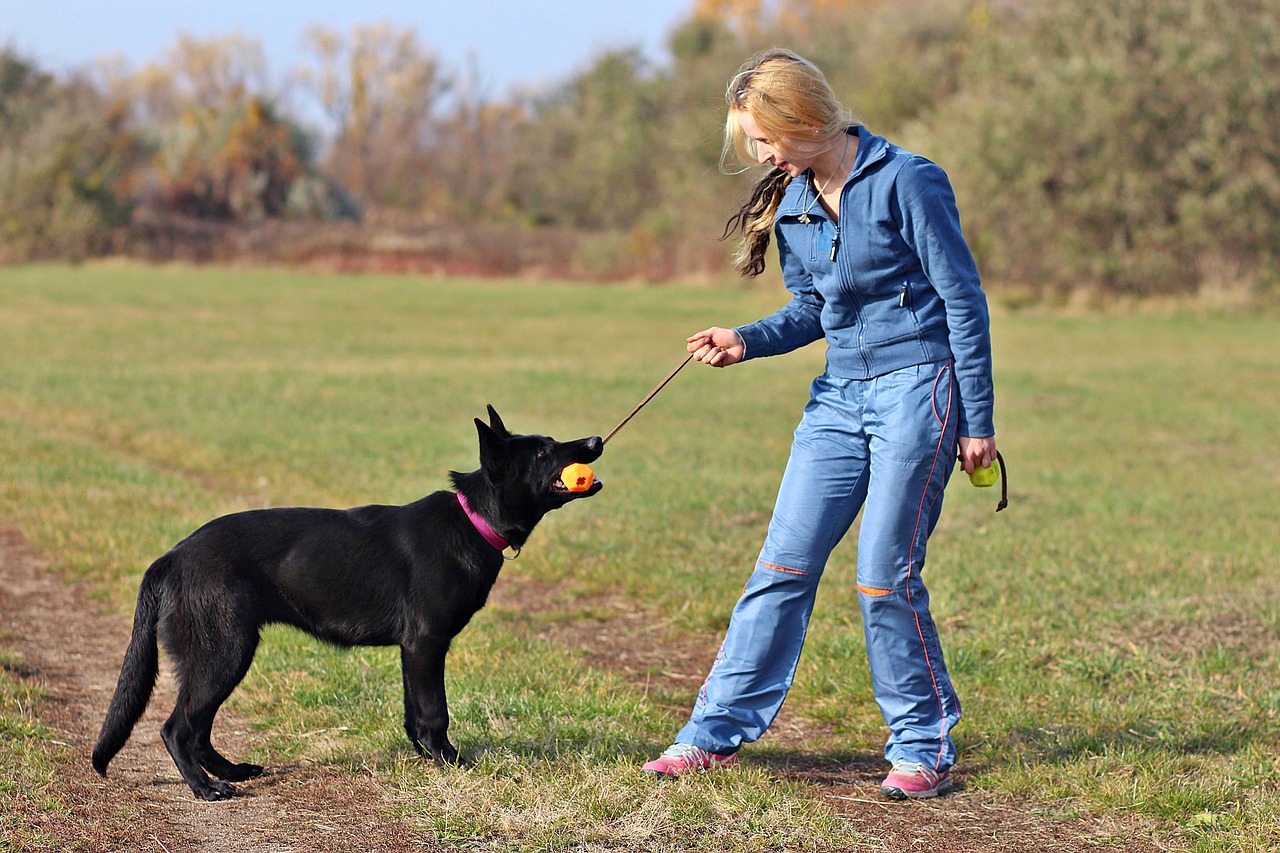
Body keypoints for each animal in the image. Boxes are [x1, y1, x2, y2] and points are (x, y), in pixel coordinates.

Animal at [92, 404, 601, 799]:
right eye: (543, 451)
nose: (596, 439)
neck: (473, 518)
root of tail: (172, 556)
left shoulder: (412, 652)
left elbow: (414, 716)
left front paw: (427, 759)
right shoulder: (427, 645)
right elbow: (435, 712)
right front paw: (452, 764)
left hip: (224, 656)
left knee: (197, 729)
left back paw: (231, 772)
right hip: (224, 653)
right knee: (178, 728)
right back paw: (206, 788)